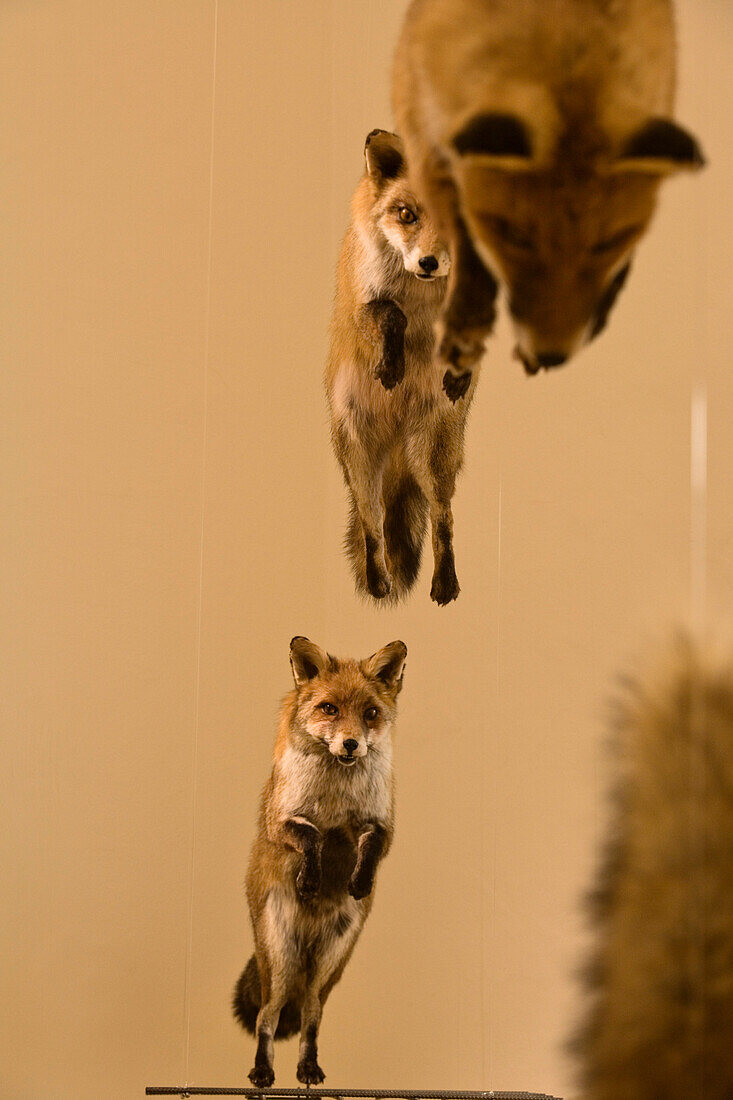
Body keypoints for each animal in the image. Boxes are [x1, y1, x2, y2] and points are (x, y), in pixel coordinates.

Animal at [231, 633, 405, 1086]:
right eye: (329, 708)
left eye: (370, 713)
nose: (350, 744)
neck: (336, 791)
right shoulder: (280, 819)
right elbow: (309, 835)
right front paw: (311, 879)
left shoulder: (380, 825)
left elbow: (371, 847)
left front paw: (359, 882)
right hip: (279, 961)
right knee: (267, 1016)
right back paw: (262, 1071)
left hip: (329, 966)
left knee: (310, 1016)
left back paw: (307, 1067)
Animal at [325, 130, 473, 611]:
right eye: (407, 215)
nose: (428, 262)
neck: (424, 294)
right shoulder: (362, 304)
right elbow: (390, 315)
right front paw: (391, 365)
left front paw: (458, 376)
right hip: (359, 464)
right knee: (372, 528)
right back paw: (378, 584)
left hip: (434, 457)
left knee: (443, 519)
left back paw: (445, 585)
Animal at [394, 0, 704, 396]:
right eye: (514, 236)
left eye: (607, 242)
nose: (551, 356)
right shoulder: (424, 133)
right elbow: (466, 246)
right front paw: (466, 323)